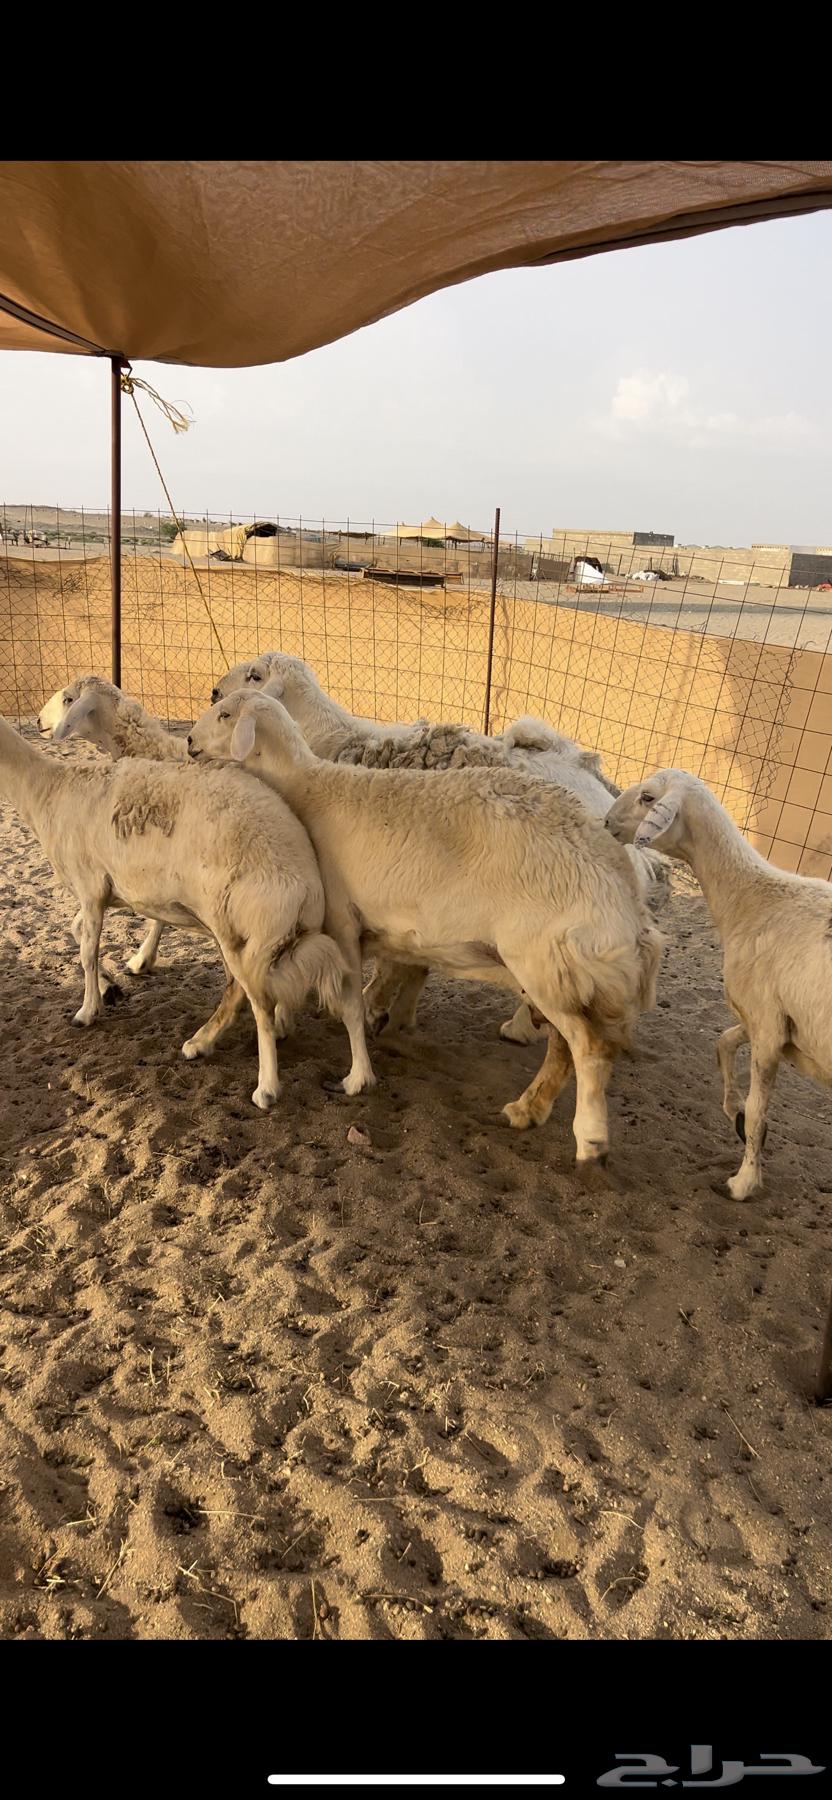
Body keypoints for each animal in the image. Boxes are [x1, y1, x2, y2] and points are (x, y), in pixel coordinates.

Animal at [0, 713, 344, 1110]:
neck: (46, 791)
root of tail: (306, 884)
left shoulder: (89, 885)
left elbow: (87, 952)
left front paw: (87, 1012)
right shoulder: (101, 892)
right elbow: (77, 935)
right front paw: (110, 987)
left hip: (238, 927)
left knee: (258, 1001)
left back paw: (265, 1086)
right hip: (247, 933)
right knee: (246, 990)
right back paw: (206, 1041)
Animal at [188, 692, 662, 1168]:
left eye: (225, 714)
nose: (190, 741)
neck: (309, 788)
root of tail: (626, 888)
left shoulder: (342, 922)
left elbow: (351, 1000)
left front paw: (356, 1074)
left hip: (546, 961)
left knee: (590, 1048)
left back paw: (590, 1139)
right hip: (562, 972)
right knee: (566, 1046)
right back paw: (528, 1109)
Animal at [605, 766, 832, 1198]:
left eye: (647, 797)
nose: (606, 822)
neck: (751, 901)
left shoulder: (767, 1026)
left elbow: (760, 1109)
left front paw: (744, 1181)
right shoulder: (763, 1020)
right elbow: (723, 1043)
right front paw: (734, 1112)